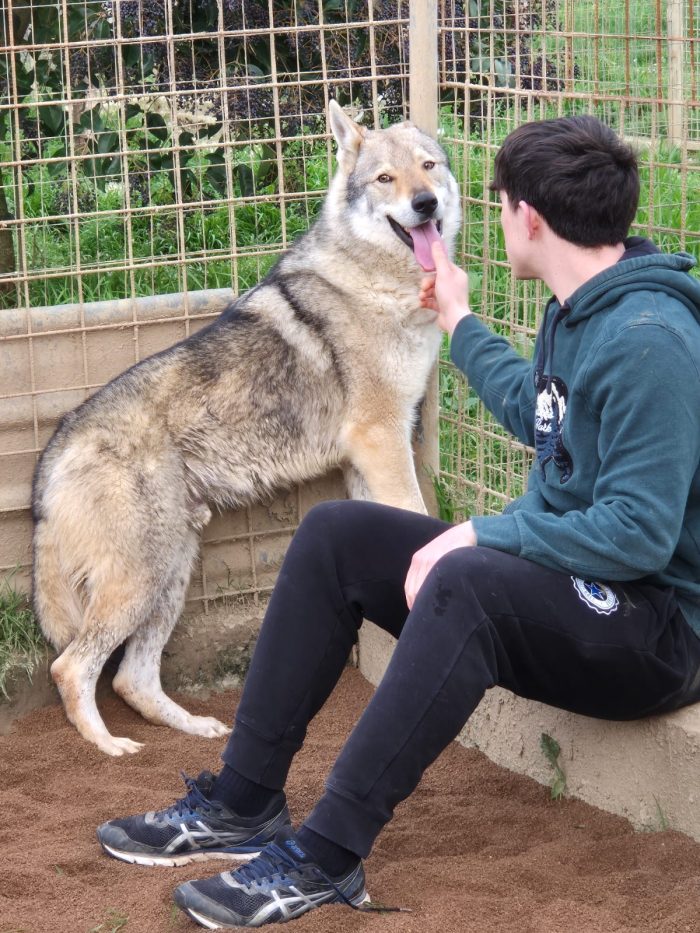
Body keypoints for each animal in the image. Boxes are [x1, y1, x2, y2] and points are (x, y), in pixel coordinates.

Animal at [31, 100, 461, 755]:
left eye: (428, 167)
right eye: (386, 179)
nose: (426, 204)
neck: (380, 285)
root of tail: (57, 447)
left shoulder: (366, 457)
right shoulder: (380, 438)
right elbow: (417, 516)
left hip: (171, 569)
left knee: (132, 679)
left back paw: (197, 727)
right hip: (142, 577)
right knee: (71, 667)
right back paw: (109, 746)